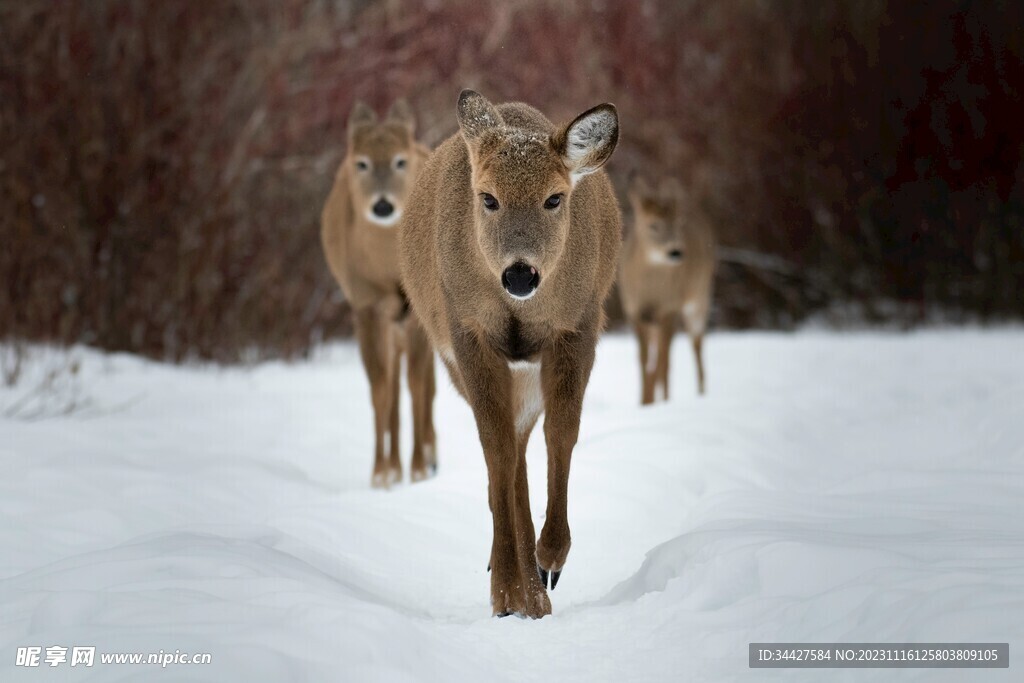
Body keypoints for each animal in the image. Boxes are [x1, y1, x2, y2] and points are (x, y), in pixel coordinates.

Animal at [317, 98, 434, 489]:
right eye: (362, 163)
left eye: (400, 161)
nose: (383, 205)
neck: (388, 271)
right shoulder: (365, 305)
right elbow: (381, 389)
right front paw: (381, 472)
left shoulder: (417, 311)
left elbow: (417, 385)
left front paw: (418, 469)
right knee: (394, 385)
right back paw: (395, 465)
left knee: (427, 385)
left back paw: (429, 456)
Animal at [397, 88, 622, 618]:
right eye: (488, 198)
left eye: (554, 198)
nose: (520, 273)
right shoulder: (467, 331)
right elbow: (494, 446)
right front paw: (503, 589)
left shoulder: (578, 324)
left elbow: (562, 433)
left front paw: (551, 555)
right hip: (457, 361)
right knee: (507, 451)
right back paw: (524, 592)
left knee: (523, 443)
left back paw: (537, 587)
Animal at [618, 174, 716, 405]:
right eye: (653, 225)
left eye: (677, 223)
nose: (676, 252)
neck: (651, 292)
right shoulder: (634, 313)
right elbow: (643, 360)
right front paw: (644, 402)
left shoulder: (669, 310)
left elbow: (664, 361)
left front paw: (661, 402)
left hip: (699, 298)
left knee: (696, 345)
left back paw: (700, 394)